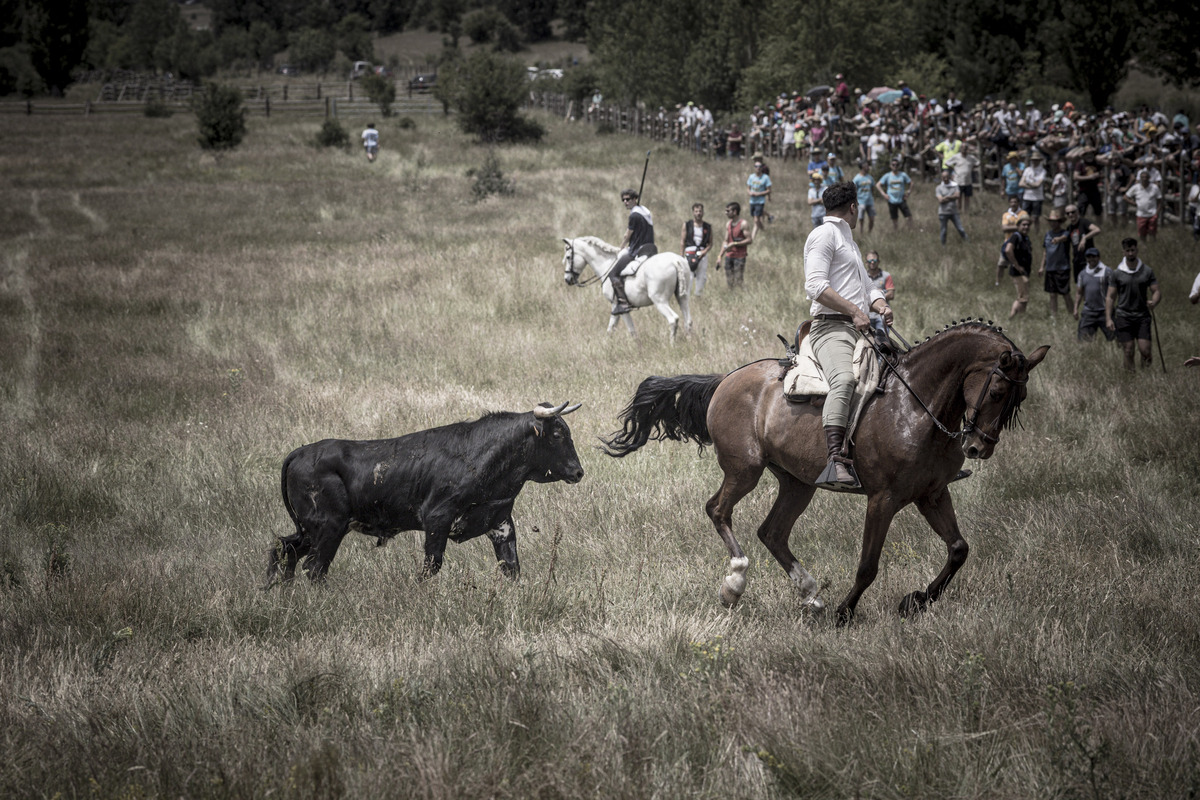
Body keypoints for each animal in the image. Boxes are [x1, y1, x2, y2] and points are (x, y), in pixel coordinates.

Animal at [265, 402, 583, 585]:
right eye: (557, 435)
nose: (578, 472)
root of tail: (300, 453)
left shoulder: (501, 523)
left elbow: (511, 567)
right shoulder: (437, 519)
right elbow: (431, 566)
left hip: (312, 530)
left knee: (285, 548)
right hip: (329, 528)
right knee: (314, 567)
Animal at [561, 235, 696, 340]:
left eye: (568, 257)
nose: (567, 279)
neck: (607, 264)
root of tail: (675, 261)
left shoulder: (620, 307)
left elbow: (631, 330)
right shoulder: (615, 307)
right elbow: (611, 328)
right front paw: (606, 346)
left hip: (659, 301)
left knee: (673, 319)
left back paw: (671, 345)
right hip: (682, 298)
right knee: (688, 321)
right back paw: (689, 341)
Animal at [604, 321, 1046, 623]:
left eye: (1021, 396)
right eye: (997, 391)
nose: (978, 448)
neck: (917, 406)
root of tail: (726, 379)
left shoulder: (932, 494)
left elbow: (958, 549)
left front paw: (915, 601)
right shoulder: (883, 499)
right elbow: (868, 565)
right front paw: (845, 612)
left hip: (798, 483)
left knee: (772, 532)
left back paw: (811, 593)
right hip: (745, 470)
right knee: (719, 511)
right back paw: (735, 584)